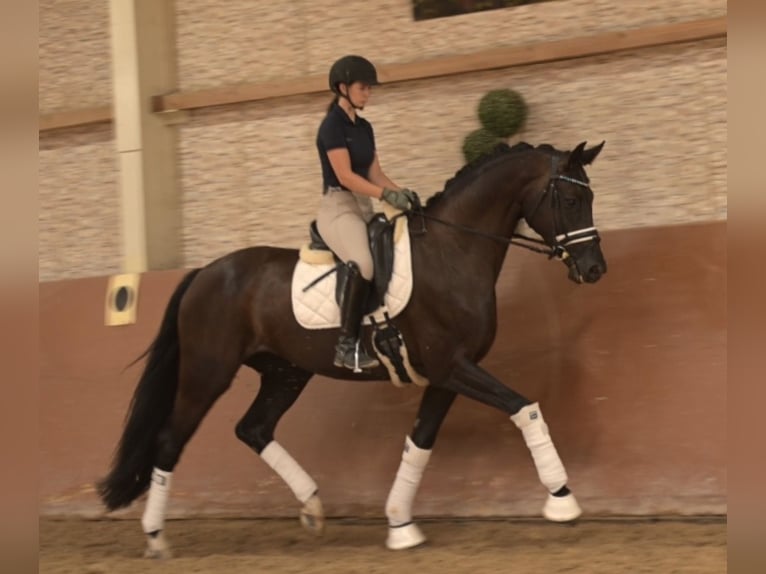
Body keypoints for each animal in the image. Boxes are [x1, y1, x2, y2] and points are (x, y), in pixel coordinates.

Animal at [97, 139, 607, 558]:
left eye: (590, 197)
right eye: (570, 200)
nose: (595, 269)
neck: (453, 250)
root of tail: (204, 273)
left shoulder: (446, 375)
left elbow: (419, 441)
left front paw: (400, 526)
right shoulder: (453, 366)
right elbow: (525, 407)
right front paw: (562, 499)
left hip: (285, 373)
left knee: (253, 428)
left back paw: (312, 507)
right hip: (207, 374)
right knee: (170, 440)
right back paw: (156, 538)